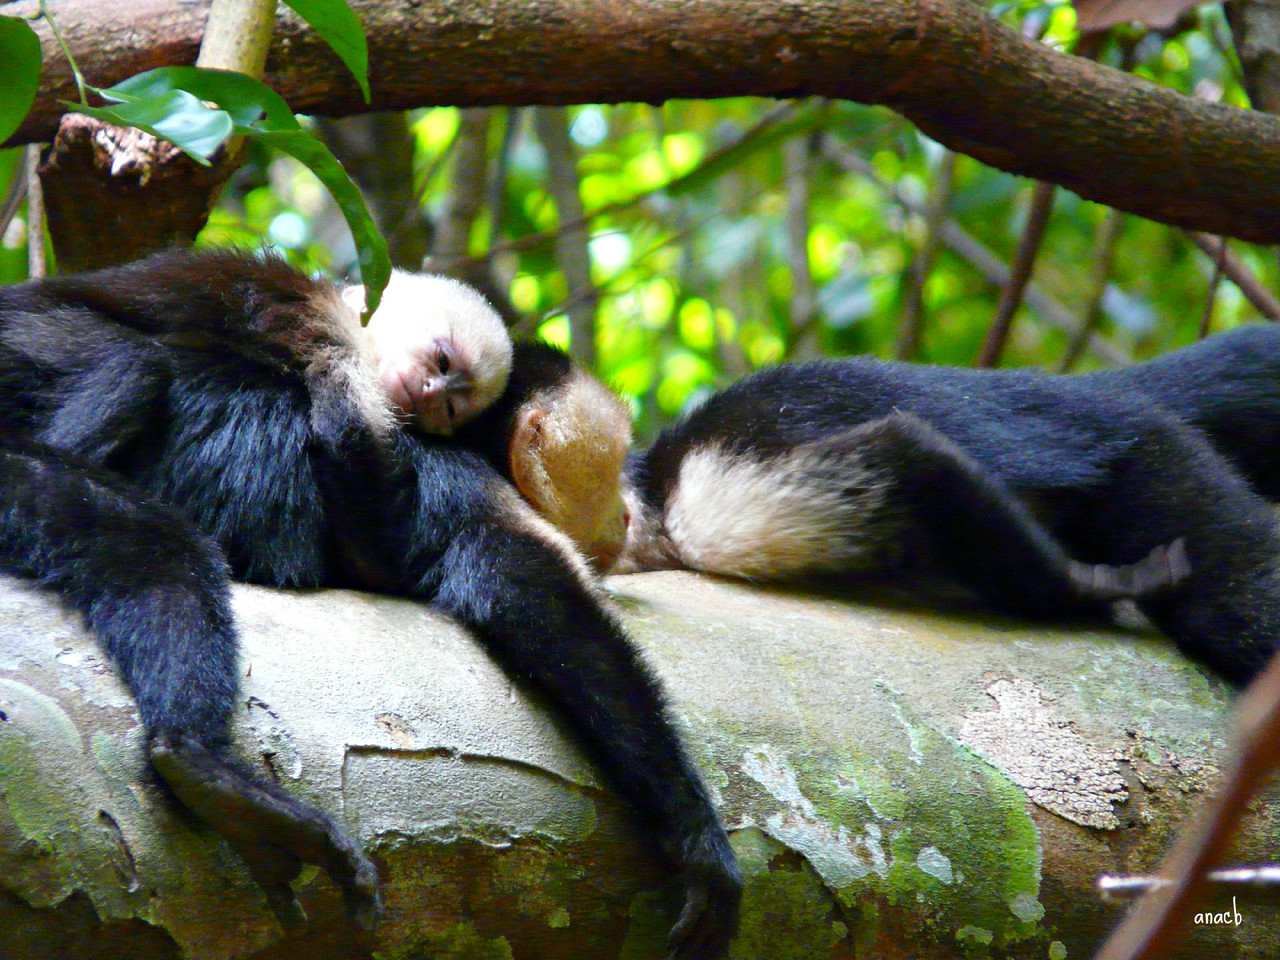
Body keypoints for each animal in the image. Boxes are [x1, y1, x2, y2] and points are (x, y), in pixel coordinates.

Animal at [0, 250, 740, 958]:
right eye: (613, 469)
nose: (627, 514)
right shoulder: (460, 475)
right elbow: (533, 598)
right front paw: (697, 838)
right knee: (155, 537)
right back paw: (199, 762)